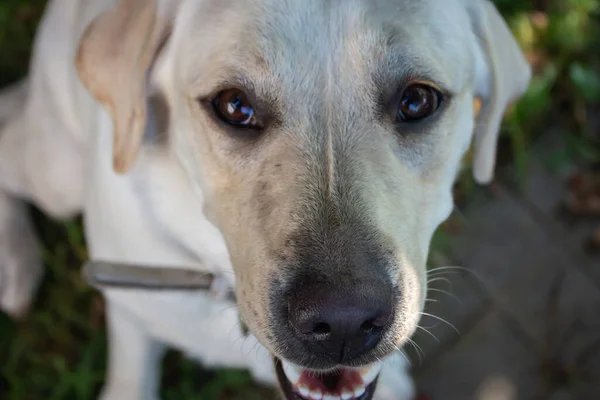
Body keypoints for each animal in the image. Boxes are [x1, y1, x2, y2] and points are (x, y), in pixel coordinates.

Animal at [0, 0, 528, 400]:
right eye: (235, 106)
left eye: (417, 101)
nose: (344, 323)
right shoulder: (131, 307)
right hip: (58, 177)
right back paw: (17, 268)